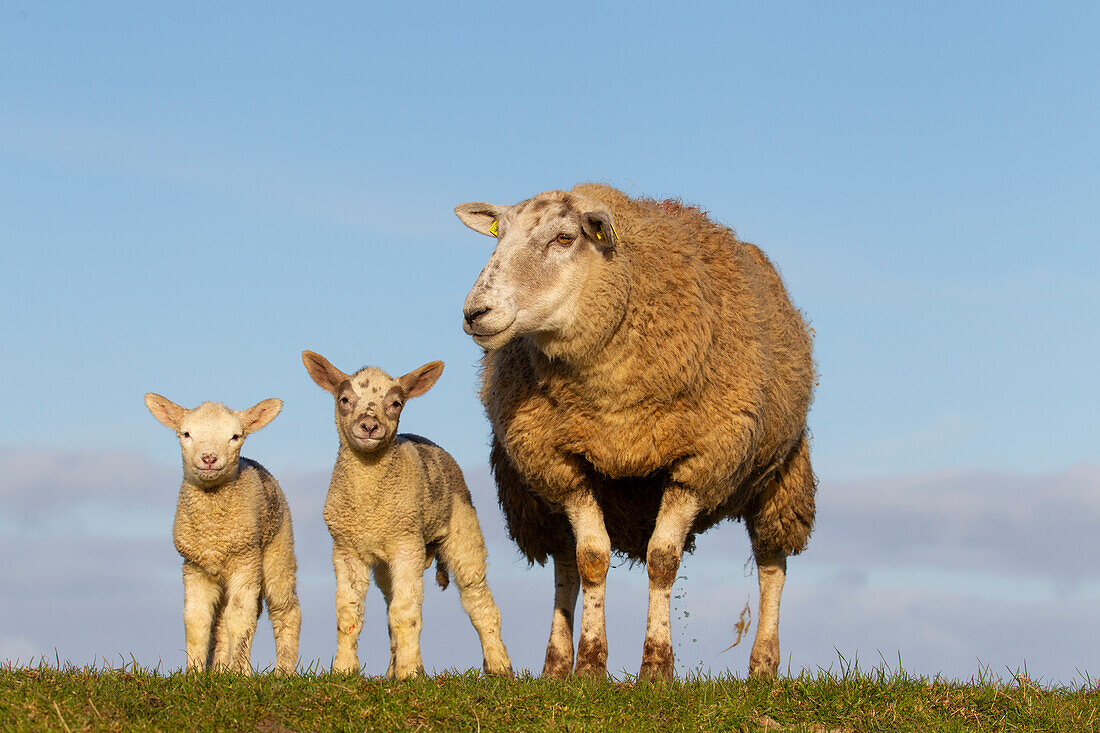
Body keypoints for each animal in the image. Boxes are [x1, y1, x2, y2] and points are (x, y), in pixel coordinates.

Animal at [453, 183, 818, 677]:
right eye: (499, 236)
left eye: (565, 237)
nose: (475, 312)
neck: (614, 408)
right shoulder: (563, 464)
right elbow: (590, 559)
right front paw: (590, 665)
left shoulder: (698, 463)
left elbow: (662, 560)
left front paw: (657, 667)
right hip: (536, 492)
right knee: (565, 563)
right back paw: (555, 665)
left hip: (781, 473)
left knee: (772, 562)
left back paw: (762, 665)